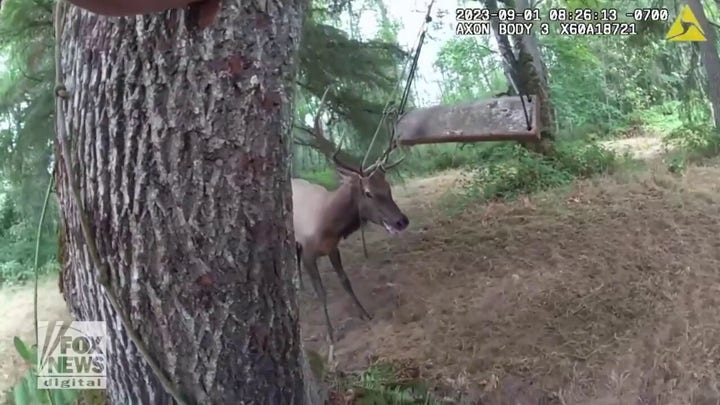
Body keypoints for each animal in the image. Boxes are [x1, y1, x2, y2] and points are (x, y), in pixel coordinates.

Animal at [292, 91, 409, 346]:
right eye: (368, 192)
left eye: (388, 187)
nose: (402, 220)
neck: (326, 226)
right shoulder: (309, 253)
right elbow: (322, 292)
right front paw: (330, 333)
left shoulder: (332, 248)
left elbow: (345, 281)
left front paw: (364, 313)